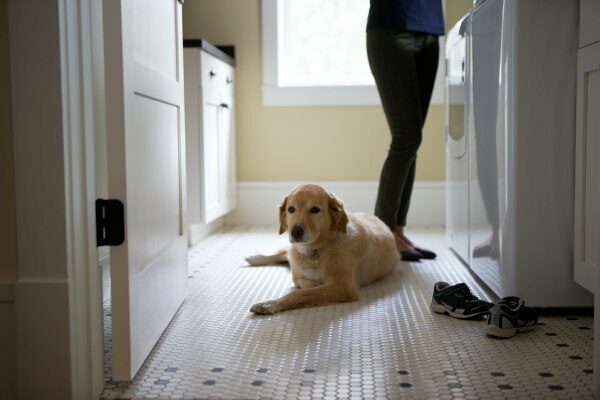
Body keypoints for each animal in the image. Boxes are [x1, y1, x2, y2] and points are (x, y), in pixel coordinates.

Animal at [244, 184, 398, 316]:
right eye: (291, 209)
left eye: (315, 209)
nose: (295, 232)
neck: (314, 250)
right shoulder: (299, 275)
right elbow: (303, 283)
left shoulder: (344, 286)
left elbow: (300, 293)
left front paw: (269, 304)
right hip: (292, 254)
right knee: (282, 254)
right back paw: (254, 258)